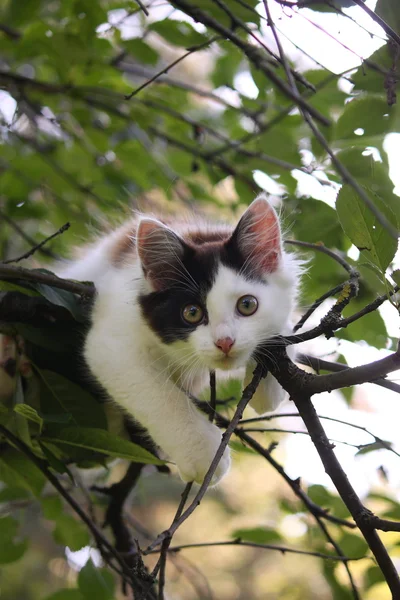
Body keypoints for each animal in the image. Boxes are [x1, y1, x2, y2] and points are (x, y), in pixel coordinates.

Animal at [61, 195, 300, 486]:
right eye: (192, 313)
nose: (225, 342)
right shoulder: (114, 338)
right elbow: (160, 396)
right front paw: (204, 453)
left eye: (247, 305)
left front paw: (268, 388)